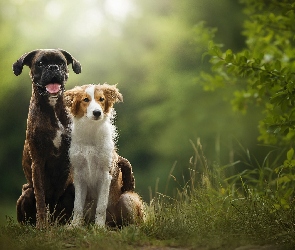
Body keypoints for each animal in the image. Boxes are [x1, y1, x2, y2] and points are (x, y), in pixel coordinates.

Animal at [13, 48, 81, 229]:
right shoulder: (38, 162)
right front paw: (42, 225)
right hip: (26, 192)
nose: (53, 67)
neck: (52, 107)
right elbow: (41, 198)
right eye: (40, 63)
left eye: (61, 63)